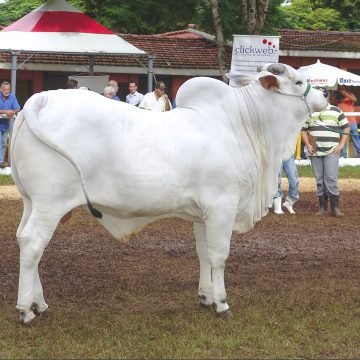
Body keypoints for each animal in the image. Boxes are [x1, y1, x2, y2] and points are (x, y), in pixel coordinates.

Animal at [10, 62, 326, 324]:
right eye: (298, 81)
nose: (324, 94)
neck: (244, 125)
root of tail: (42, 98)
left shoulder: (204, 214)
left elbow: (203, 253)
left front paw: (206, 296)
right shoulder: (223, 206)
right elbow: (219, 255)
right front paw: (222, 304)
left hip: (31, 202)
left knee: (24, 240)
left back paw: (39, 303)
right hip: (50, 204)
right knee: (33, 243)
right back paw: (26, 310)